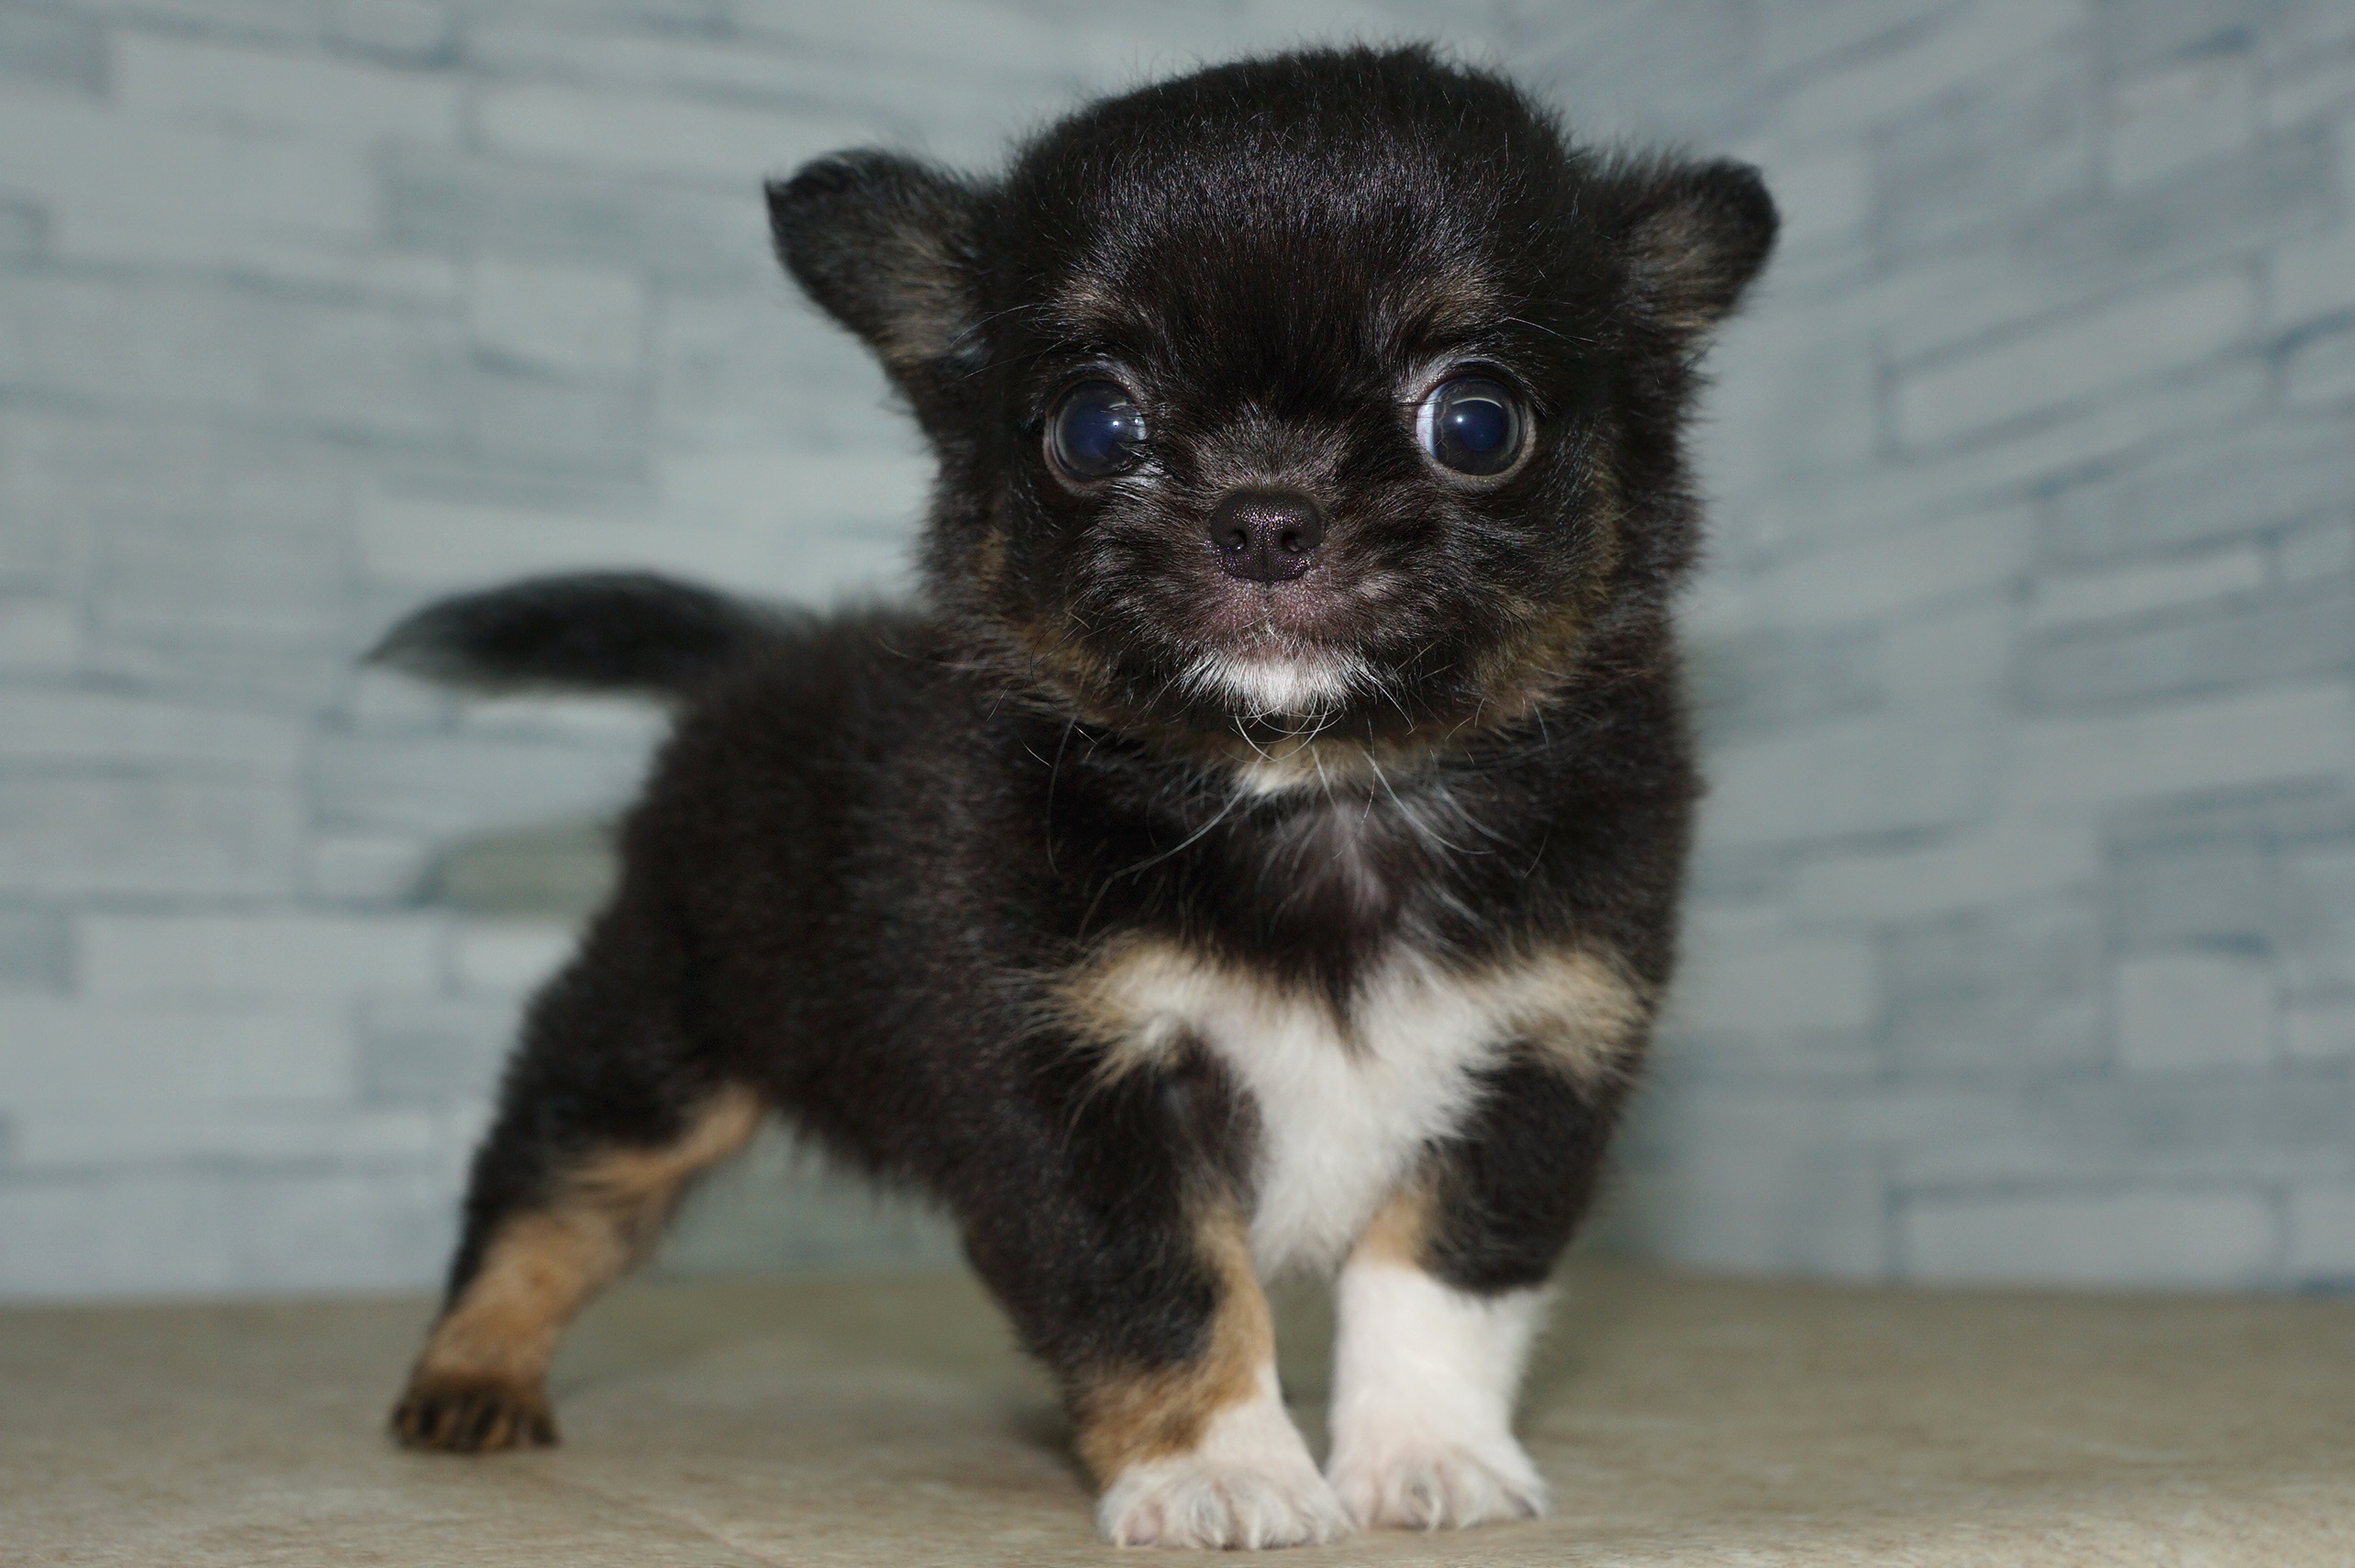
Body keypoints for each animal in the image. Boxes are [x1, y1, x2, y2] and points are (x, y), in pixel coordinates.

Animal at [376, 42, 1771, 1544]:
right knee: (548, 1193)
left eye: (1474, 419)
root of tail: (756, 654)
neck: (1313, 787)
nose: (1265, 514)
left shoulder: (1540, 1057)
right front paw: (1219, 1466)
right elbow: (1163, 1290)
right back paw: (469, 1370)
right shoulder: (1059, 1087)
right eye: (1094, 427)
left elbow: (1440, 1279)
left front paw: (1421, 1452)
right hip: (657, 1036)